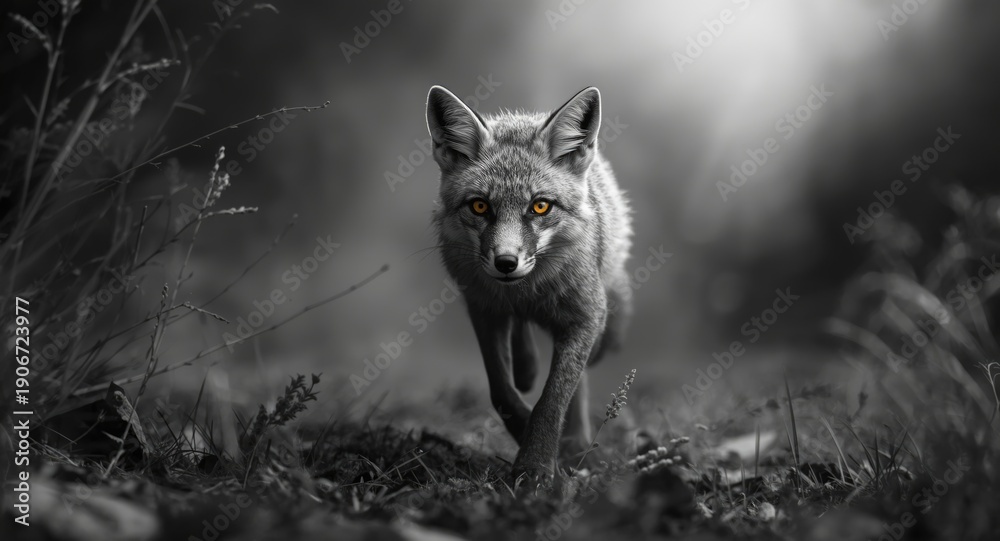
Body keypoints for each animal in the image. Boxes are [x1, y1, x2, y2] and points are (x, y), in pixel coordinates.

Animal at [425, 85, 633, 481]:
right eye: (479, 206)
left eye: (540, 206)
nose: (506, 263)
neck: (526, 292)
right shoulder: (482, 308)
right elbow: (501, 391)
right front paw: (526, 436)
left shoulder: (586, 316)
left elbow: (554, 399)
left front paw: (536, 464)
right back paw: (528, 369)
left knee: (578, 380)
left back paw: (575, 442)